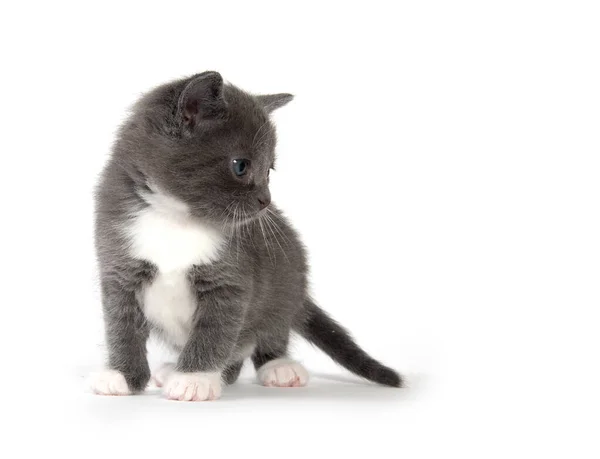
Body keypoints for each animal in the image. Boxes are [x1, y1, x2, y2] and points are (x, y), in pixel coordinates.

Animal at [90, 70, 404, 400]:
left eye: (268, 171)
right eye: (241, 166)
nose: (266, 200)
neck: (176, 218)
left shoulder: (230, 281)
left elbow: (214, 332)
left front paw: (195, 379)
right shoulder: (119, 268)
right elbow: (121, 325)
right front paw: (122, 375)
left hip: (286, 280)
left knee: (270, 333)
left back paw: (278, 366)